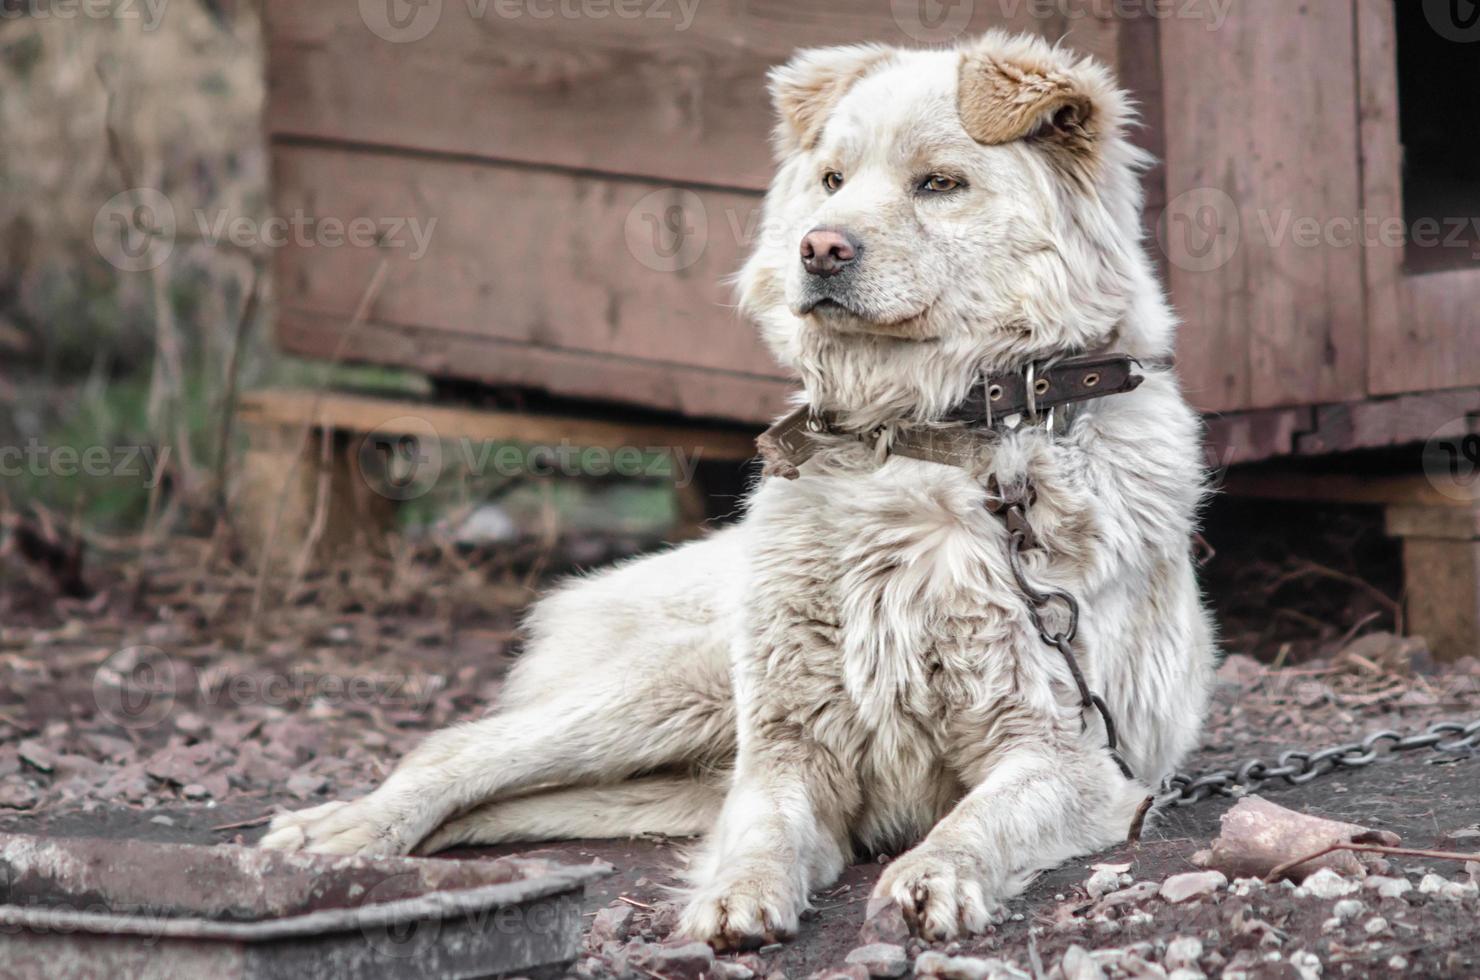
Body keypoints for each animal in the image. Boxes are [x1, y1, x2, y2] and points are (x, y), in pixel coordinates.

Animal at [263, 30, 1213, 953]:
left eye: (939, 183)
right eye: (832, 180)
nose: (820, 248)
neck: (917, 437)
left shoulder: (1075, 756)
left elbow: (976, 822)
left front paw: (932, 877)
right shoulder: (790, 752)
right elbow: (764, 833)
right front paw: (738, 895)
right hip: (678, 692)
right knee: (456, 751)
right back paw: (342, 831)